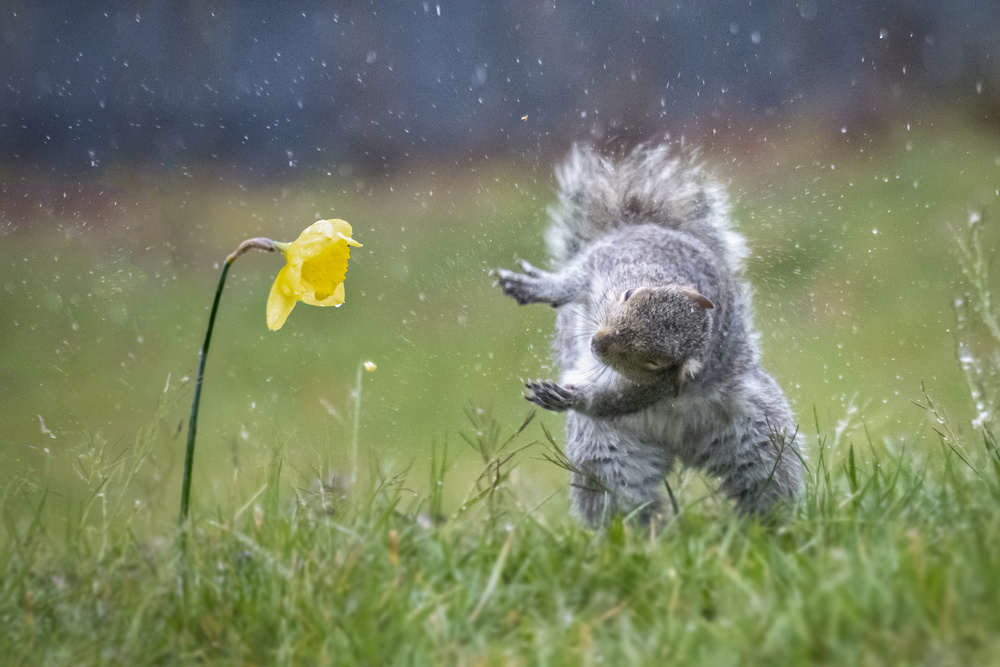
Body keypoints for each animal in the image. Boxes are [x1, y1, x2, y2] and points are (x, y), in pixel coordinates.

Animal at [500, 144, 804, 524]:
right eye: (629, 297)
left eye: (657, 361)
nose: (598, 343)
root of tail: (681, 441)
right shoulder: (602, 265)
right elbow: (572, 280)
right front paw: (539, 287)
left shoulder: (657, 386)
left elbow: (615, 400)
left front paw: (570, 398)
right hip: (606, 454)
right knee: (620, 499)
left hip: (762, 436)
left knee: (769, 481)